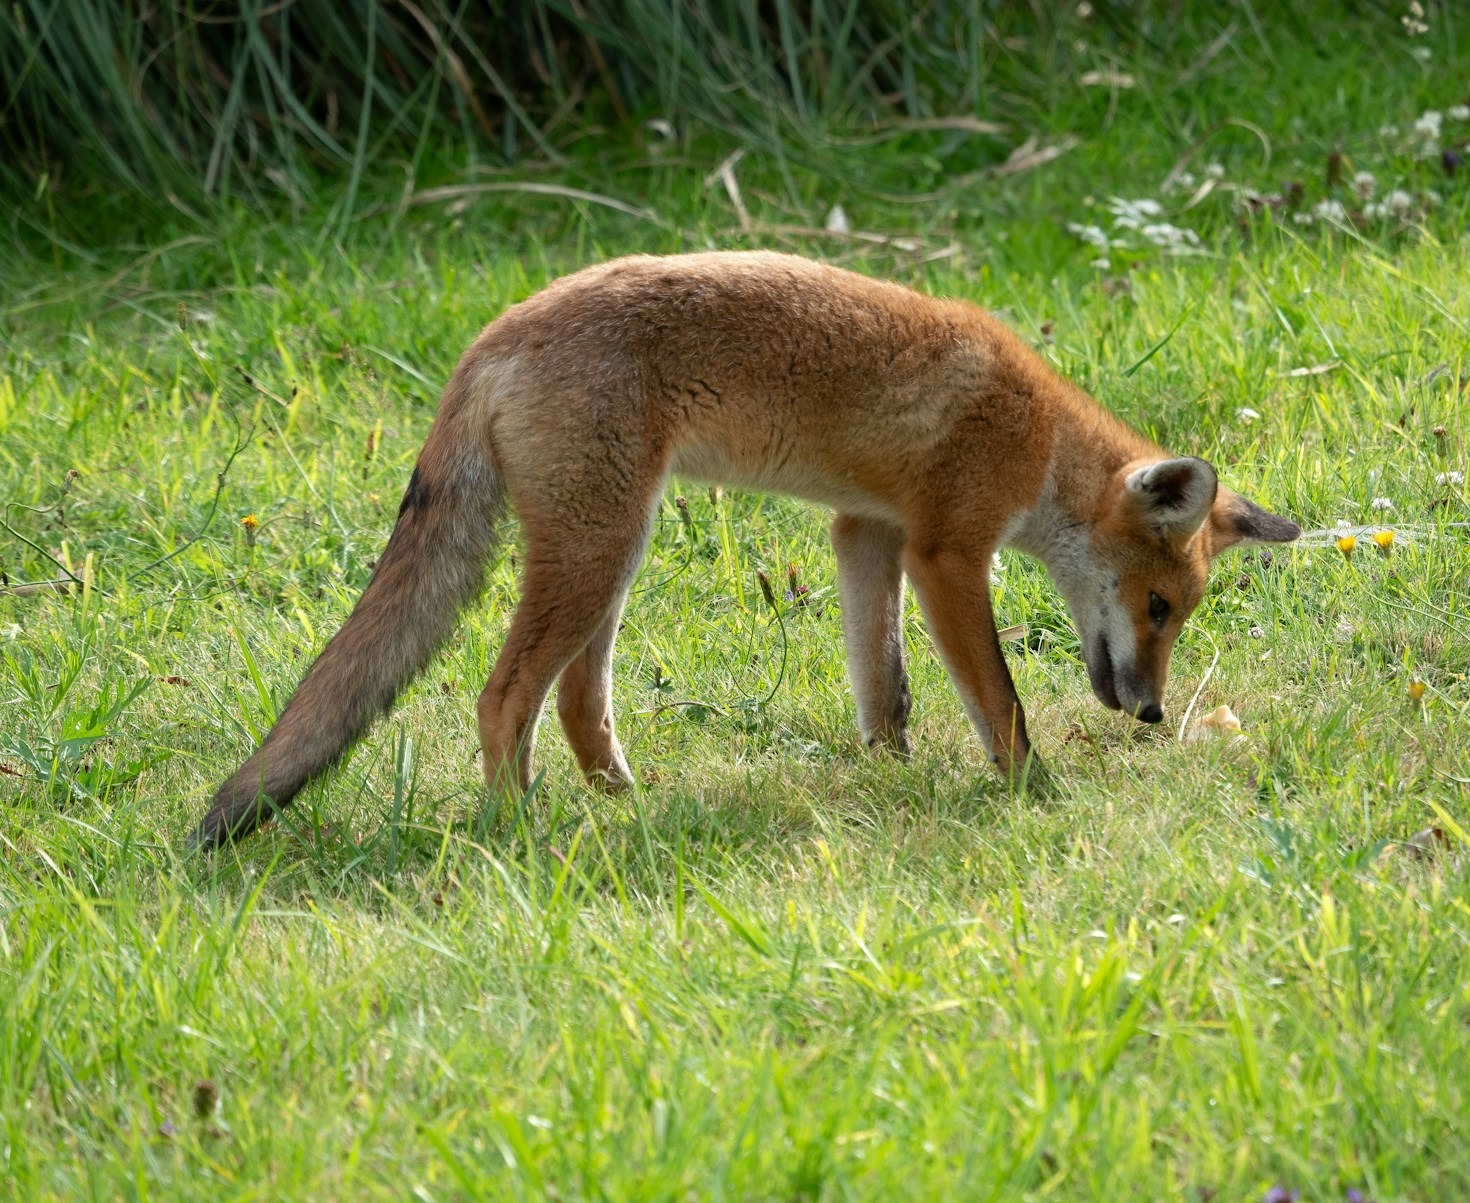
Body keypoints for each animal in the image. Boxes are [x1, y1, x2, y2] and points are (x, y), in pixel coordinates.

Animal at [189, 250, 1300, 848]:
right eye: (1158, 608)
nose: (1151, 713)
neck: (1036, 439)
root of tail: (491, 335)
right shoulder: (946, 551)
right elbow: (1001, 703)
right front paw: (1035, 794)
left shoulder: (867, 530)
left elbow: (885, 690)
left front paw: (889, 778)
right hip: (596, 549)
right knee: (503, 697)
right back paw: (520, 828)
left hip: (615, 550)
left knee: (578, 698)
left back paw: (624, 804)